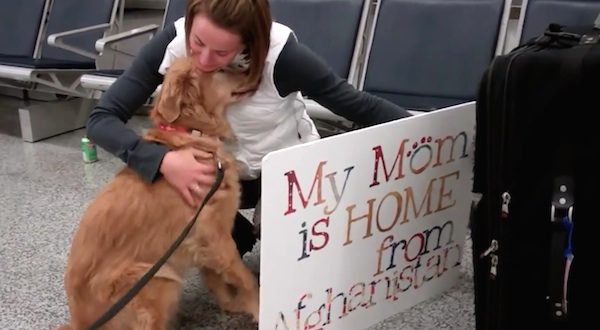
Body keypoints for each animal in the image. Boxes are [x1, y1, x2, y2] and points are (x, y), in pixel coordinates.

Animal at [59, 58, 258, 328]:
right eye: (220, 69)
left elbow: (218, 283)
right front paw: (263, 308)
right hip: (156, 279)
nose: (253, 71)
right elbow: (247, 280)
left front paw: (234, 305)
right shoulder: (217, 238)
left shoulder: (202, 242)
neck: (191, 133)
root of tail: (80, 322)